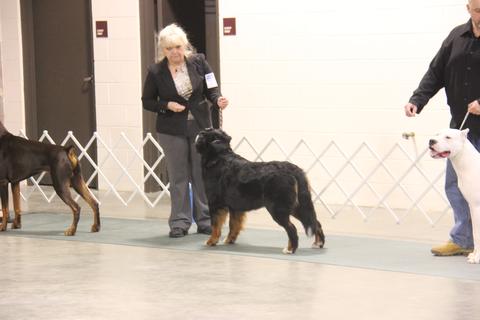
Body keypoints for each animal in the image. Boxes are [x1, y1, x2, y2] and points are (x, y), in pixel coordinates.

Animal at [195, 129, 326, 254]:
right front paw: (229, 240)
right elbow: (234, 225)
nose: (199, 133)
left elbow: (215, 225)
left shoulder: (215, 203)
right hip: (298, 206)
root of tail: (293, 169)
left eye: (204, 134)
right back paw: (318, 243)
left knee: (292, 228)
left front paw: (211, 241)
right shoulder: (235, 207)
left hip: (278, 208)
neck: (219, 158)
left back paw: (290, 249)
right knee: (316, 222)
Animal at [432, 129, 480, 264]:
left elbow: (477, 234)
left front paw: (477, 258)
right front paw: (473, 255)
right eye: (437, 135)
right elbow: (475, 233)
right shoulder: (471, 206)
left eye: (448, 137)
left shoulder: (476, 206)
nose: (431, 141)